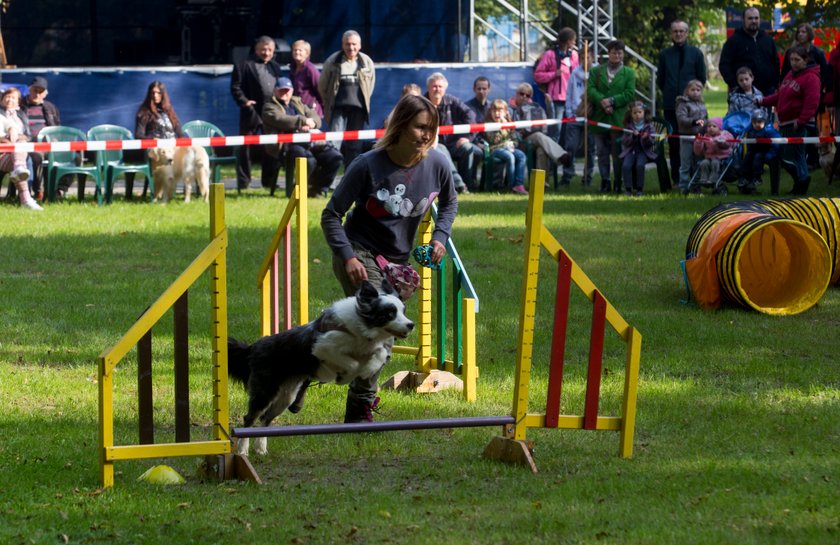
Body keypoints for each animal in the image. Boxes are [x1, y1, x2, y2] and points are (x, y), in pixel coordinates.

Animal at [228, 280, 416, 454]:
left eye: (403, 311)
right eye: (389, 313)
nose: (411, 324)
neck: (362, 326)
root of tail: (254, 347)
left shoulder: (369, 347)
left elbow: (380, 353)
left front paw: (367, 369)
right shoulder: (323, 346)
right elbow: (352, 363)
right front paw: (345, 376)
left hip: (287, 396)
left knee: (266, 418)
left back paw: (261, 449)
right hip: (265, 390)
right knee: (249, 418)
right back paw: (243, 451)